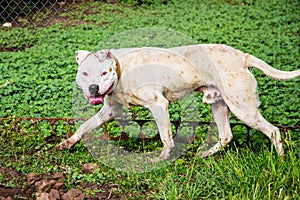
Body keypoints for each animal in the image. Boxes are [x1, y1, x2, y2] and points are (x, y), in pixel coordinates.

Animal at [59, 44, 300, 160]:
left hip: (244, 109)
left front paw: (162, 158)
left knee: (274, 131)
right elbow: (83, 126)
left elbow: (165, 136)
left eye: (104, 72)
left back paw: (280, 161)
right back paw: (206, 154)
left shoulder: (158, 105)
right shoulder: (109, 111)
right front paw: (68, 142)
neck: (120, 68)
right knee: (226, 135)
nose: (93, 89)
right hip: (219, 106)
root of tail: (243, 57)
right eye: (85, 74)